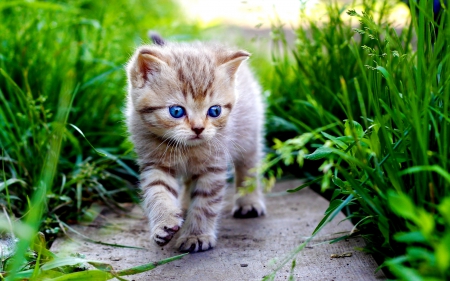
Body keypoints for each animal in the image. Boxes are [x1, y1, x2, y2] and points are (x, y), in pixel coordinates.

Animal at [125, 35, 266, 252]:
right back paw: (182, 206)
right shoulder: (154, 163)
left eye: (215, 111)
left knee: (248, 168)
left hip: (249, 137)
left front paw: (196, 235)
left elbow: (205, 204)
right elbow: (158, 192)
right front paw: (164, 223)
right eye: (176, 111)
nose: (199, 128)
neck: (184, 149)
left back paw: (248, 202)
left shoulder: (213, 167)